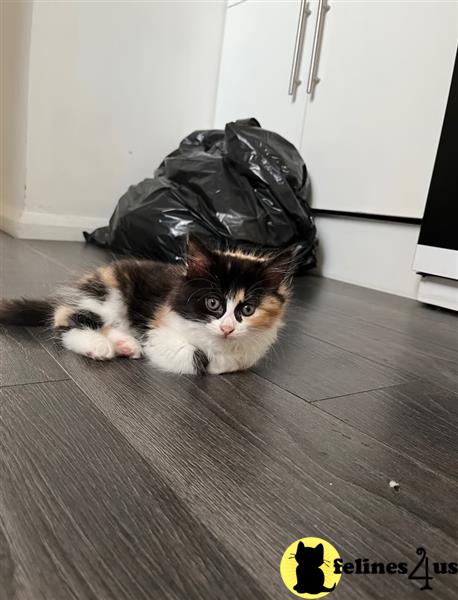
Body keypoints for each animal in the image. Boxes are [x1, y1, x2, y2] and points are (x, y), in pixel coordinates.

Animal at [0, 238, 296, 376]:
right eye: (213, 303)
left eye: (248, 310)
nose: (227, 328)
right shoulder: (160, 335)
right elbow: (199, 359)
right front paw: (215, 361)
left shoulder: (253, 349)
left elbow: (237, 361)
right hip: (108, 296)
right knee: (64, 319)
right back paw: (99, 345)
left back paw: (125, 344)